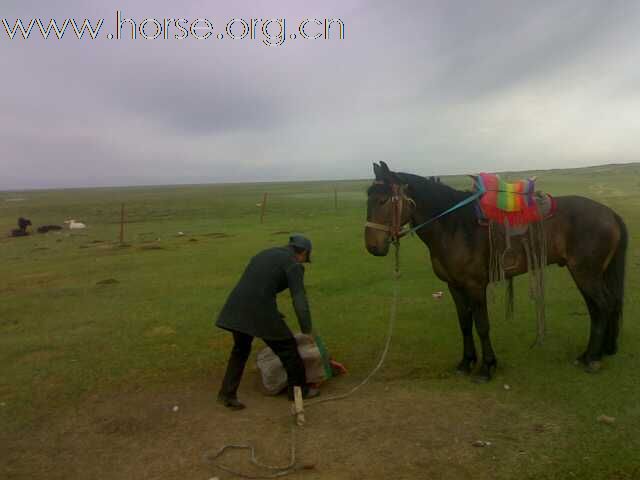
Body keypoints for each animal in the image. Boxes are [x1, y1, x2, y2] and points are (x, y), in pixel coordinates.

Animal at [368, 163, 628, 380]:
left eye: (383, 200)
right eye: (369, 199)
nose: (372, 246)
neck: (455, 226)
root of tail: (610, 213)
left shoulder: (475, 285)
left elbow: (482, 325)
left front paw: (487, 367)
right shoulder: (454, 286)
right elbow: (465, 324)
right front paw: (466, 363)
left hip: (586, 273)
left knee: (602, 306)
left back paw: (593, 359)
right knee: (599, 308)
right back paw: (593, 353)